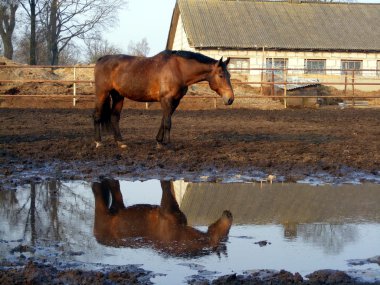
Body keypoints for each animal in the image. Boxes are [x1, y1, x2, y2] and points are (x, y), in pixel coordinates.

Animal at [92, 178, 233, 255]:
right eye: (223, 233)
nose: (229, 214)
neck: (179, 235)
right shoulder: (166, 205)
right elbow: (165, 185)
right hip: (101, 208)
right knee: (97, 190)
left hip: (117, 207)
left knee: (114, 187)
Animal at [93, 50, 233, 148]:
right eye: (221, 75)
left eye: (229, 75)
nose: (230, 99)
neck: (178, 70)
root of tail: (101, 59)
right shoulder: (166, 100)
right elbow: (167, 122)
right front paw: (168, 144)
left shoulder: (175, 101)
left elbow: (164, 120)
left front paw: (159, 142)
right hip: (102, 93)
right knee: (97, 115)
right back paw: (98, 142)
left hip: (118, 96)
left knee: (114, 117)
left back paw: (120, 142)